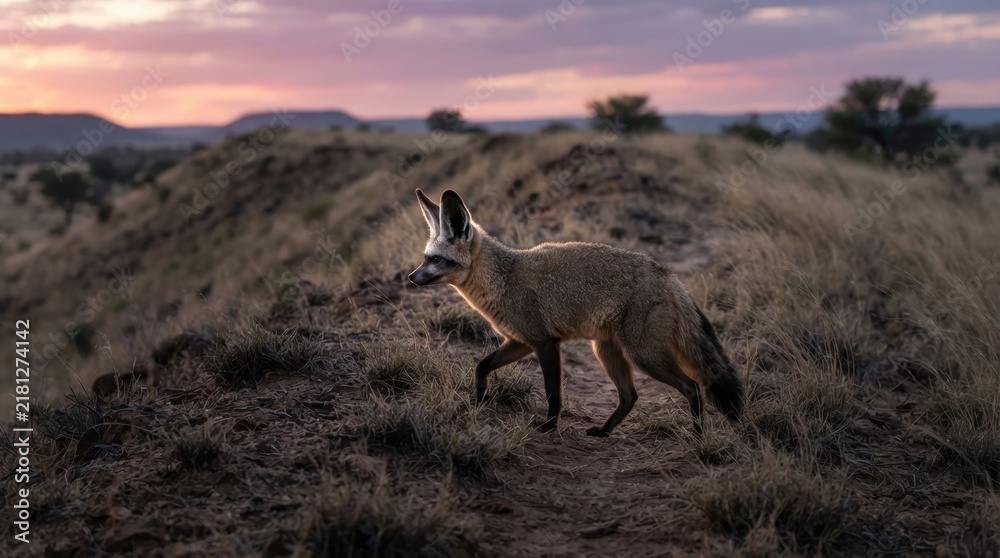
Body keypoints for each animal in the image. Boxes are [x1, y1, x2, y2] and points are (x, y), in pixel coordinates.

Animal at [407, 189, 744, 437]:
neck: (504, 278)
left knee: (693, 387)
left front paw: (549, 426)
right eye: (425, 257)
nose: (411, 277)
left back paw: (698, 435)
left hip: (645, 356)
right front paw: (477, 399)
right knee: (630, 396)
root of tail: (668, 275)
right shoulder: (520, 342)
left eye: (436, 260)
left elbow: (553, 393)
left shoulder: (545, 343)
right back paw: (605, 431)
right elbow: (481, 366)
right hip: (607, 352)